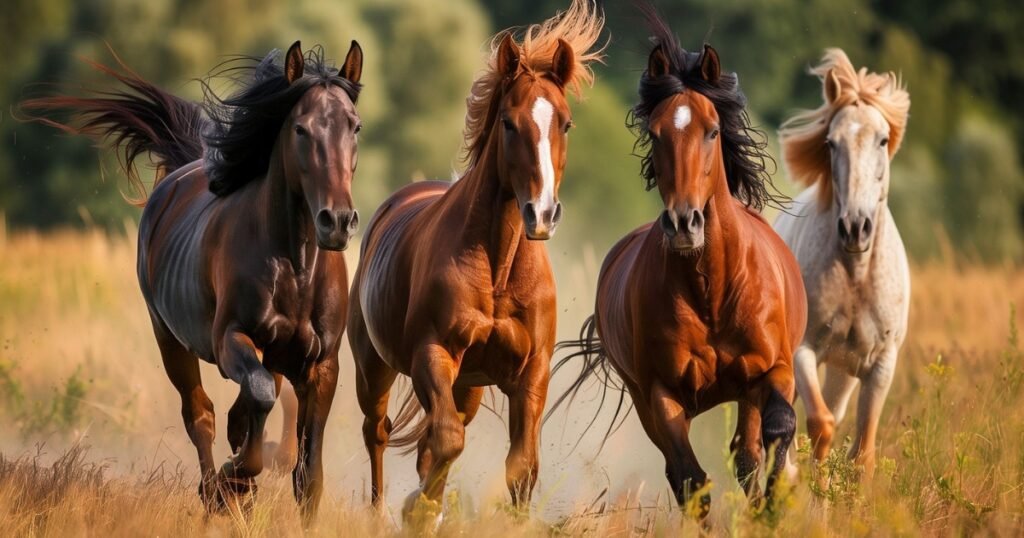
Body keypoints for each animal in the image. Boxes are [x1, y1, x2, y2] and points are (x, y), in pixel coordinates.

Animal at [22, 41, 364, 520]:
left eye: (355, 127)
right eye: (301, 129)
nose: (337, 221)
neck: (295, 266)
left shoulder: (321, 364)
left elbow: (307, 472)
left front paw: (251, 478)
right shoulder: (230, 340)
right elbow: (257, 399)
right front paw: (232, 480)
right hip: (169, 340)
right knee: (200, 414)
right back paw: (216, 489)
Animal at [346, 0, 603, 522]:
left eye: (565, 123)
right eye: (508, 122)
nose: (542, 213)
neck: (499, 269)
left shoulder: (530, 374)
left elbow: (520, 465)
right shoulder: (434, 355)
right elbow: (446, 441)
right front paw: (419, 509)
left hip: (467, 387)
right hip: (374, 367)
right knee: (379, 433)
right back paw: (384, 511)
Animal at [551, 7, 806, 517]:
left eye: (712, 130)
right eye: (655, 133)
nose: (684, 223)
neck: (712, 290)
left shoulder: (773, 370)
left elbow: (777, 431)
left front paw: (774, 503)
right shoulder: (661, 395)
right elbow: (691, 479)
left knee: (747, 453)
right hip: (644, 400)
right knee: (689, 473)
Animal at [774, 49, 910, 477]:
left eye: (882, 140)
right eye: (831, 143)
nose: (855, 228)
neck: (856, 276)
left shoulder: (880, 365)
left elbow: (862, 453)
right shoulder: (803, 350)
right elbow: (821, 424)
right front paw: (804, 483)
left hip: (842, 371)